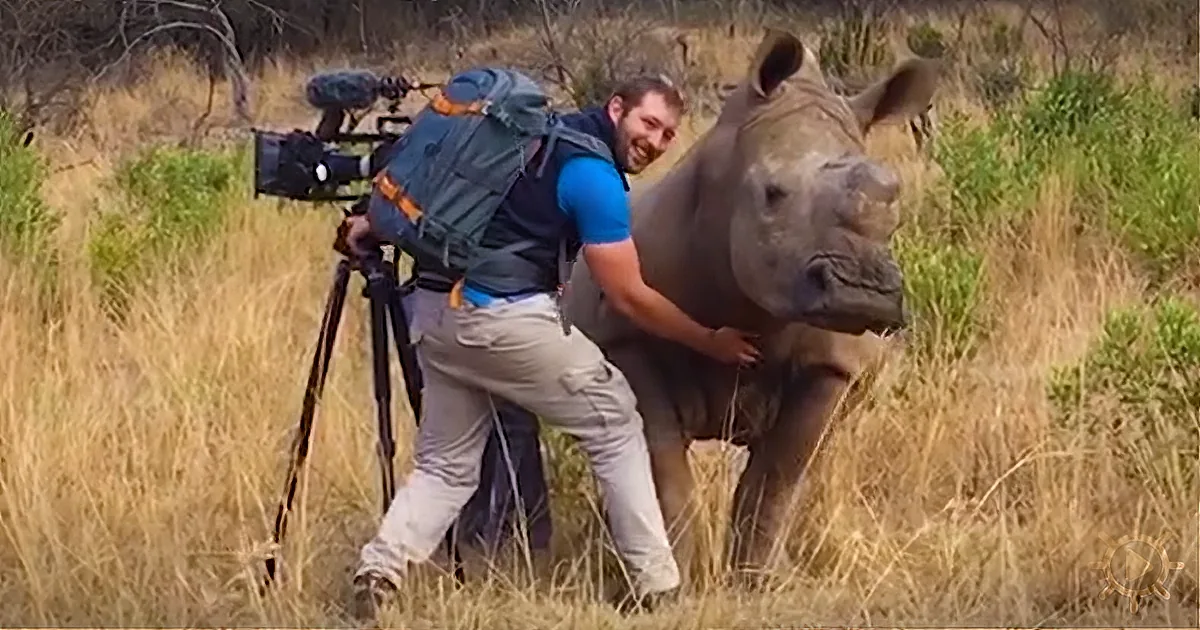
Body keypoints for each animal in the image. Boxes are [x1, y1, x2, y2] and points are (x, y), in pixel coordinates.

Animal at [562, 28, 941, 584]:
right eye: (772, 193)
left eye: (896, 202)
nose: (861, 292)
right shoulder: (624, 339)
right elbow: (661, 465)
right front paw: (686, 578)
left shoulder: (833, 362)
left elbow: (778, 475)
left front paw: (761, 580)